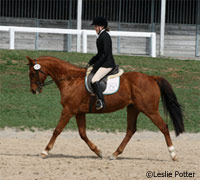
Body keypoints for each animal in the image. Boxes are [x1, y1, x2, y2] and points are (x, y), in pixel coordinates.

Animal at [27, 56, 184, 160]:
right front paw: (98, 151)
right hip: (133, 108)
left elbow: (57, 130)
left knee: (163, 127)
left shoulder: (68, 110)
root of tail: (151, 77)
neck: (70, 80)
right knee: (131, 130)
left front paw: (45, 151)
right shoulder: (78, 112)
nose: (34, 91)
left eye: (32, 73)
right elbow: (82, 134)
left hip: (150, 110)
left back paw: (173, 154)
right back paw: (115, 154)